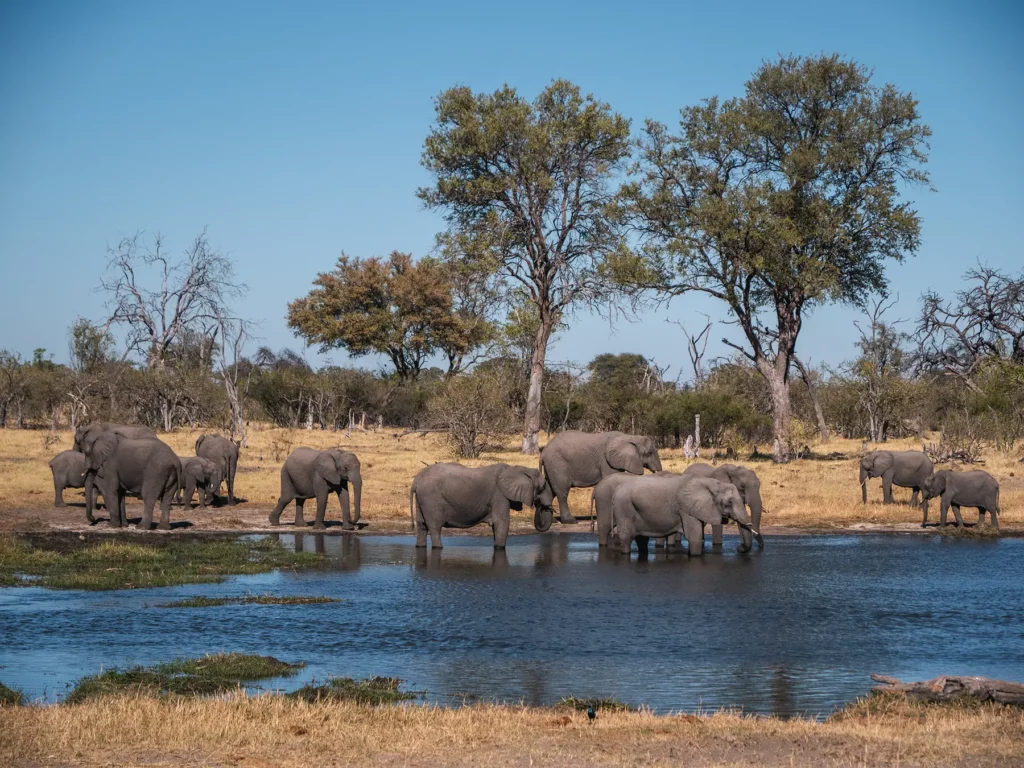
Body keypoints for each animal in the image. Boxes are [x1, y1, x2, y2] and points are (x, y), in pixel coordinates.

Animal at [409, 462, 555, 549]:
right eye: (543, 487)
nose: (540, 505)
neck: (518, 468)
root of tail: (416, 481)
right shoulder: (499, 495)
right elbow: (502, 522)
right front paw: (499, 548)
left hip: (422, 500)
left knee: (422, 526)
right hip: (431, 499)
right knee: (434, 528)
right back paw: (438, 547)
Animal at [610, 474, 761, 558]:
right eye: (728, 503)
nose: (739, 548)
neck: (712, 483)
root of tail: (616, 490)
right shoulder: (686, 508)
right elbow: (695, 537)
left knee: (642, 540)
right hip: (623, 507)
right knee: (626, 538)